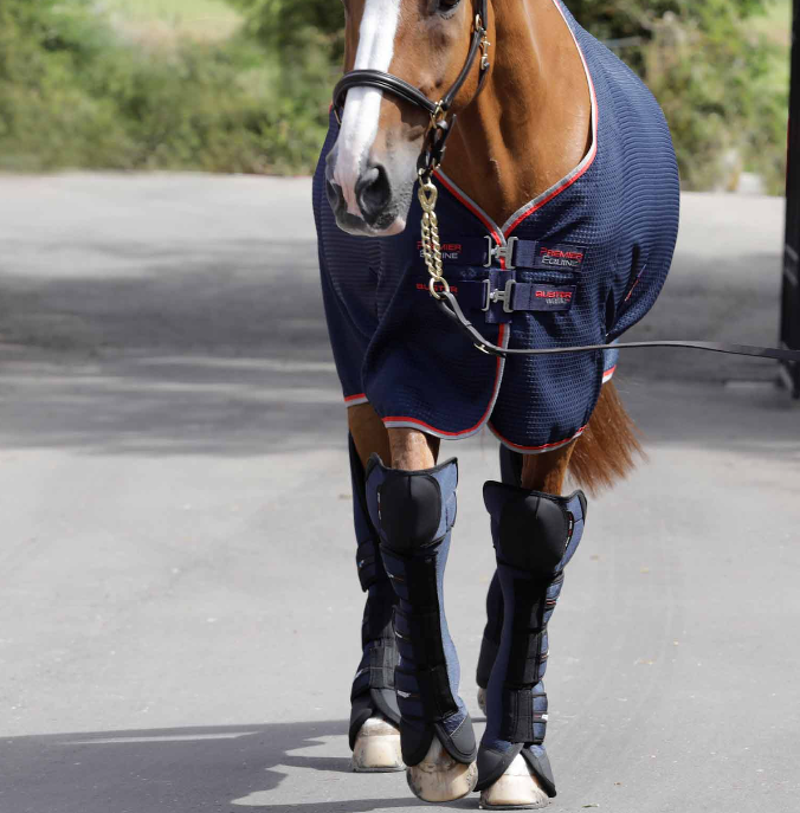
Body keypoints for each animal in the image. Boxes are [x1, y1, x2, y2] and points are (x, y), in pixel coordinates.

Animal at [312, 0, 680, 807]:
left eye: (446, 5)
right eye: (345, 6)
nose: (360, 183)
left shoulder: (559, 380)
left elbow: (534, 533)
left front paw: (512, 754)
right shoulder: (411, 372)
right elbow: (411, 518)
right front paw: (435, 741)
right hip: (358, 368)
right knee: (378, 532)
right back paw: (381, 708)